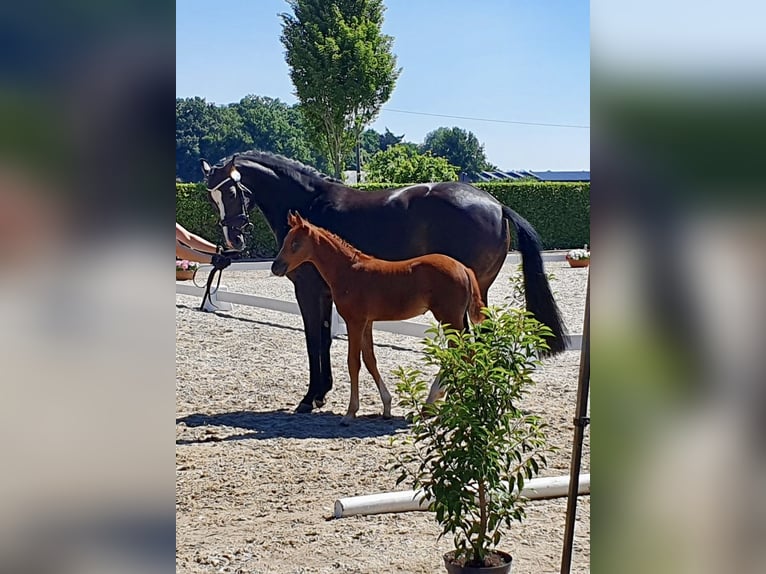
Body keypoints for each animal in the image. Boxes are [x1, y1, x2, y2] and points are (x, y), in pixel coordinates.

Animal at [201, 153, 568, 414]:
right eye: (211, 197)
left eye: (231, 190)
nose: (233, 239)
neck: (311, 203)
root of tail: (496, 204)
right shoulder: (327, 294)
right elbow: (326, 340)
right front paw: (322, 393)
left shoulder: (307, 291)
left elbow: (313, 340)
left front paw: (309, 397)